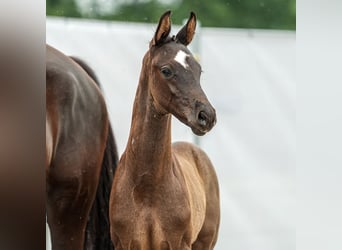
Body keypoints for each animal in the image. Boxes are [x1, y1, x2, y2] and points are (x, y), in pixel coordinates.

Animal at [111, 10, 220, 249]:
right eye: (166, 70)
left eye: (199, 70)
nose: (207, 116)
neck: (146, 187)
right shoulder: (124, 243)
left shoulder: (179, 243)